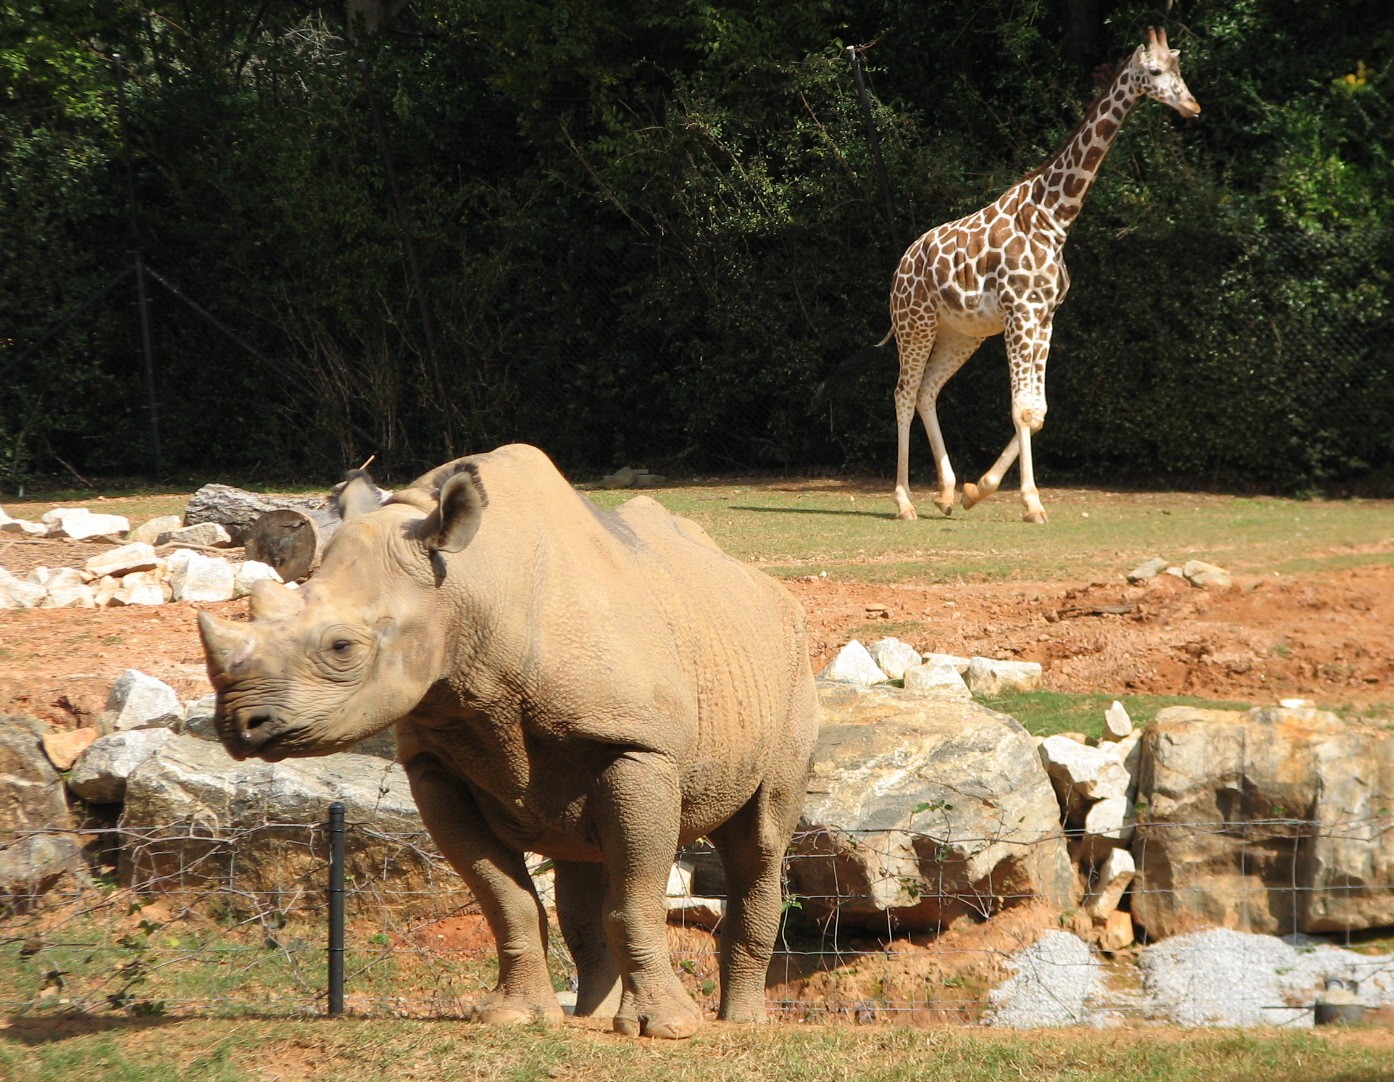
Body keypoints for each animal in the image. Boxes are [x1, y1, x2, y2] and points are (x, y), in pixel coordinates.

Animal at [197, 443, 818, 1038]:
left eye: (342, 647)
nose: (238, 724)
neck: (468, 589)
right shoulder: (435, 762)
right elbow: (506, 900)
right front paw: (517, 1017)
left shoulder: (638, 748)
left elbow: (635, 899)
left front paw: (667, 1030)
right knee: (582, 865)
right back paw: (589, 1017)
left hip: (790, 667)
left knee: (760, 841)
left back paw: (741, 1021)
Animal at [886, 27, 1200, 523]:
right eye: (1153, 72)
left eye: (1179, 68)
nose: (1192, 106)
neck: (1055, 217)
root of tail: (901, 266)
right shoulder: (1021, 313)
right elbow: (1021, 410)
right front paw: (1031, 502)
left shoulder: (1046, 316)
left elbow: (1038, 411)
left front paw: (979, 490)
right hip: (915, 323)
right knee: (903, 393)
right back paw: (903, 502)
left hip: (961, 333)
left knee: (927, 392)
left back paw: (947, 492)